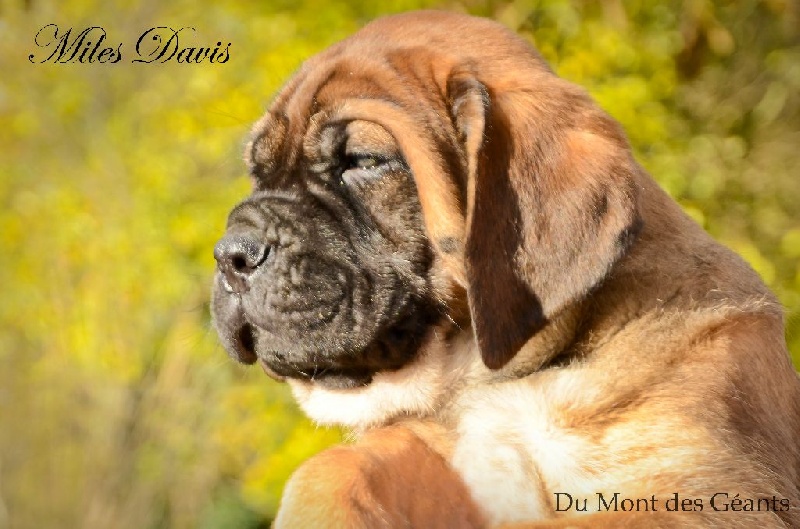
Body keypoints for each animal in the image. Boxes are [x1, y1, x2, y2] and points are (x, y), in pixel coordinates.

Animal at [211, 10, 800, 528]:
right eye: (258, 174)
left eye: (363, 161)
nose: (230, 254)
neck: (506, 378)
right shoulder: (434, 446)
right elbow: (338, 467)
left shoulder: (714, 496)